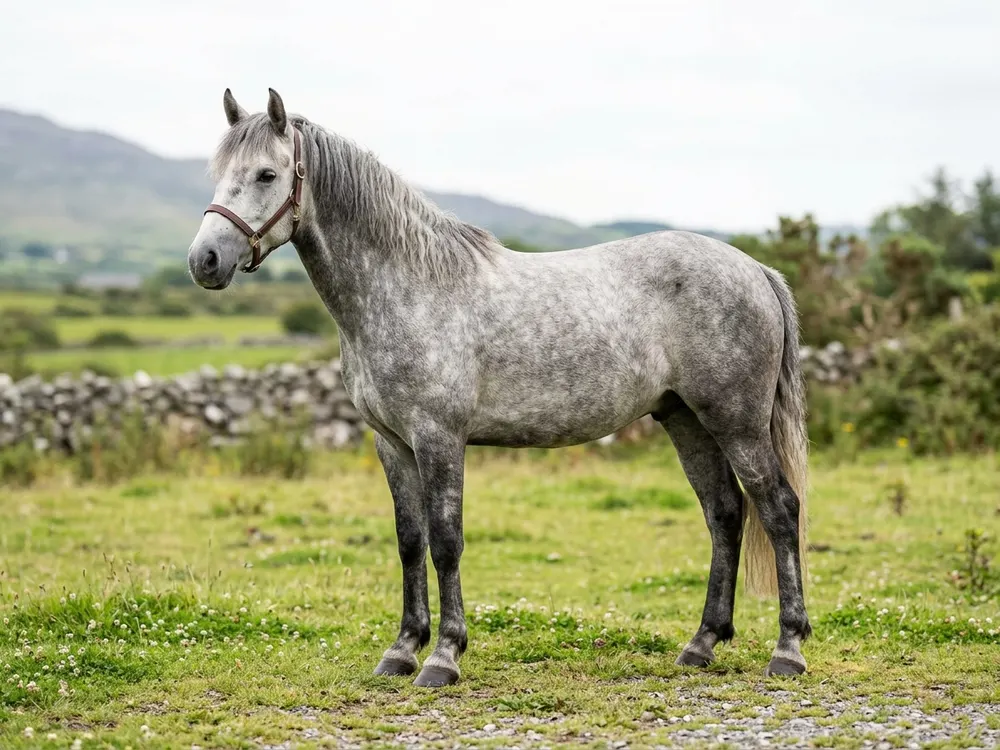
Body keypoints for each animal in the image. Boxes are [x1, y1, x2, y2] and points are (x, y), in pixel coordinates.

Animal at [187, 88, 812, 687]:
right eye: (218, 172)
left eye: (267, 174)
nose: (204, 260)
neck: (407, 287)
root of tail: (756, 271)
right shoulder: (392, 444)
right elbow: (409, 542)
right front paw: (401, 651)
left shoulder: (439, 438)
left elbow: (446, 541)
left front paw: (444, 657)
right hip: (686, 418)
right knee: (725, 513)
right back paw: (701, 644)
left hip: (736, 420)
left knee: (779, 508)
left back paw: (788, 648)